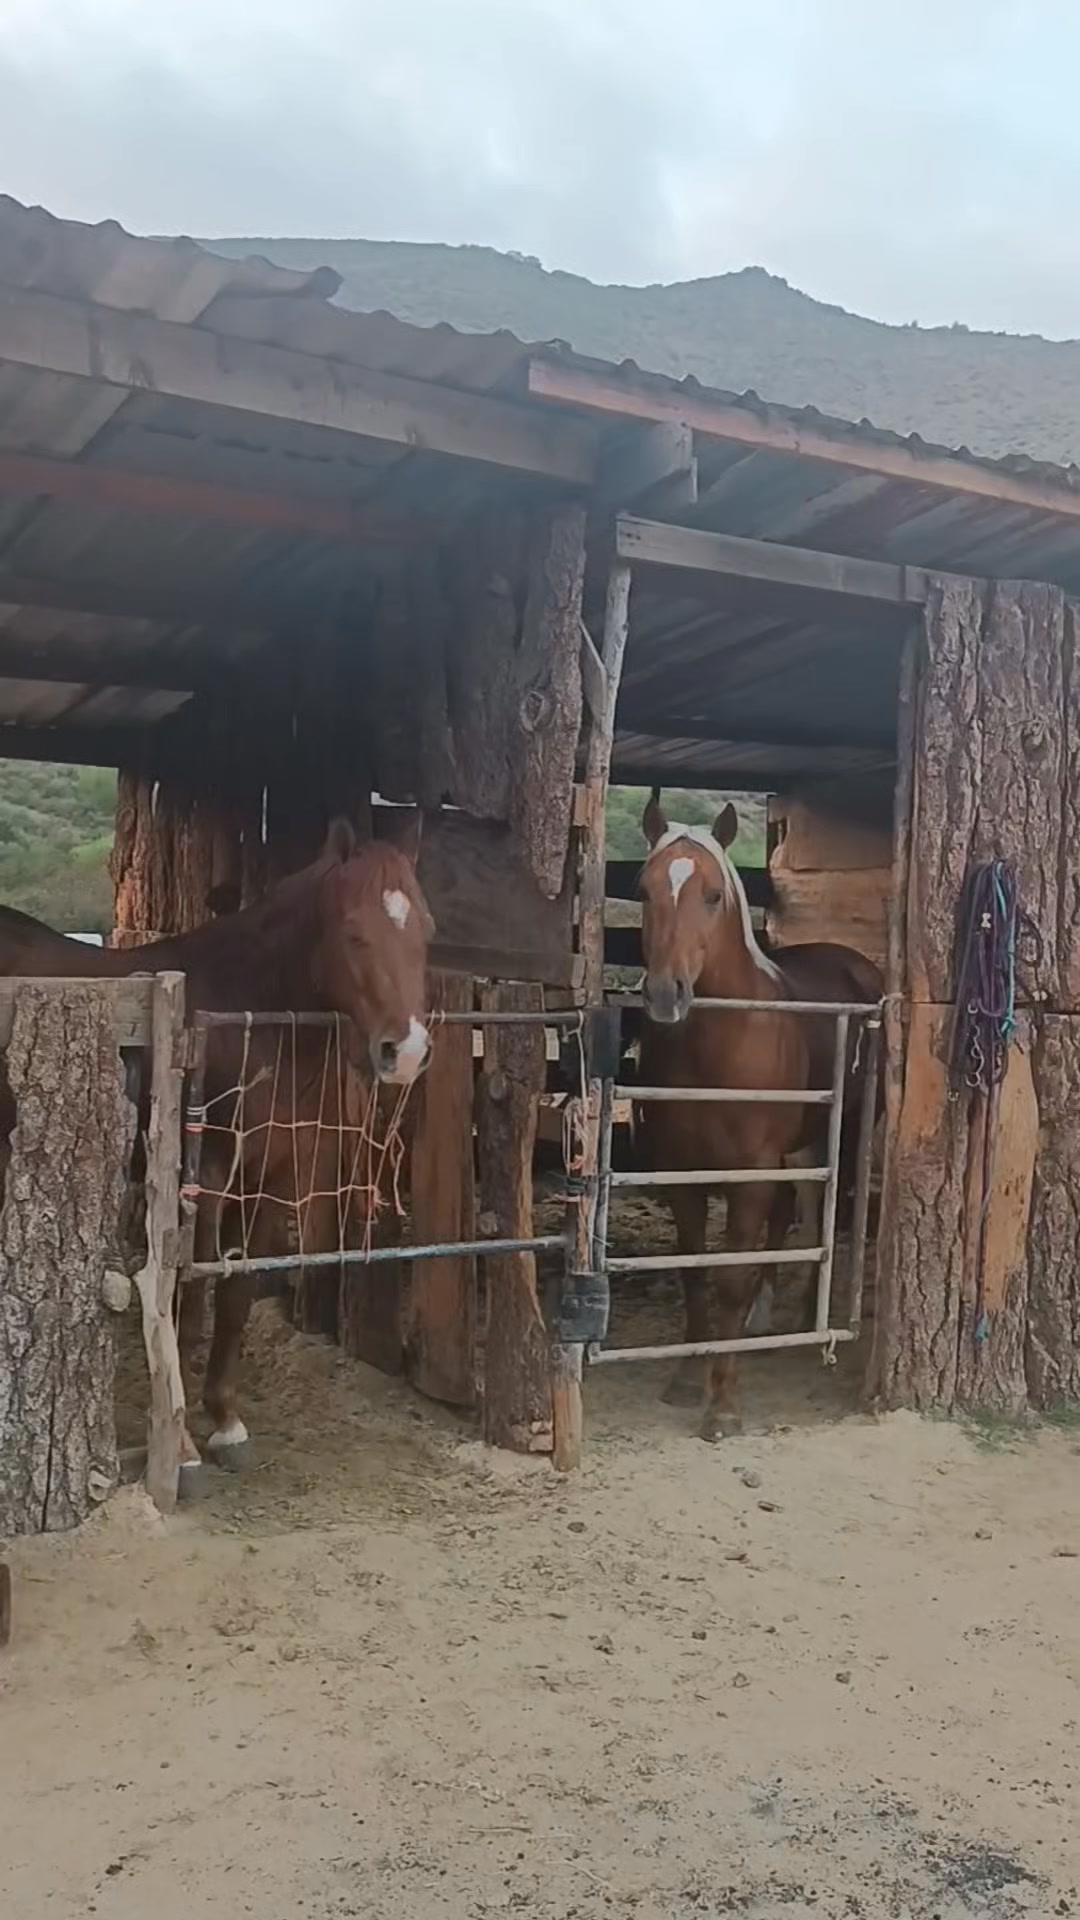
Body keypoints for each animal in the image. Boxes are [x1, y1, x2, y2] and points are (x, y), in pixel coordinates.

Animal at [0, 816, 434, 1470]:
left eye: (427, 932)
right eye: (354, 931)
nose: (404, 1053)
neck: (245, 1018)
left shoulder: (272, 1179)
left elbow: (237, 1292)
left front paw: (227, 1420)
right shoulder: (203, 1181)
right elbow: (190, 1294)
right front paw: (180, 1446)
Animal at [636, 791, 882, 1441]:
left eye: (712, 895)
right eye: (644, 891)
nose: (665, 995)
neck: (719, 1042)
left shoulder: (749, 1172)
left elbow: (729, 1277)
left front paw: (722, 1403)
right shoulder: (682, 1174)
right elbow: (697, 1272)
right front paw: (685, 1376)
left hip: (841, 1140)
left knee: (828, 1213)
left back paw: (803, 1323)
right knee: (793, 1211)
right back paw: (764, 1317)